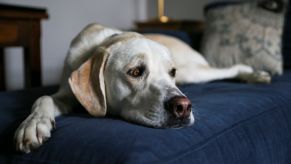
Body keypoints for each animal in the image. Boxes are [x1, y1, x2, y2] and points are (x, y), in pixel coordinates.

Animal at [13, 23, 270, 153]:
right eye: (135, 72)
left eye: (171, 72)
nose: (183, 107)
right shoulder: (66, 94)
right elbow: (43, 98)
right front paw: (33, 124)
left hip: (194, 72)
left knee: (230, 68)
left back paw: (255, 73)